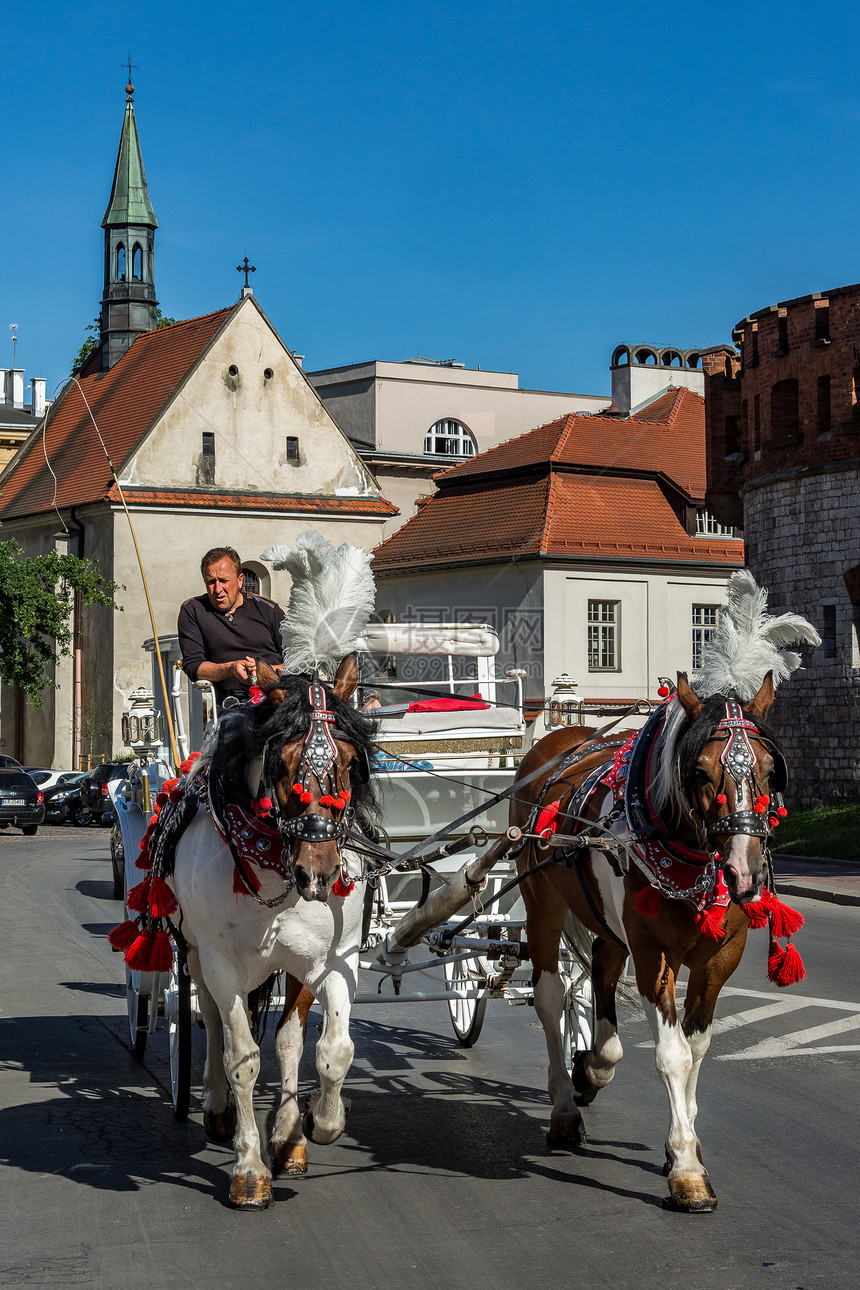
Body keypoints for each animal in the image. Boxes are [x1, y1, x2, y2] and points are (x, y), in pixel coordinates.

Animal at [510, 670, 794, 1212]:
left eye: (771, 770)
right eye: (700, 772)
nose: (744, 873)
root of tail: (563, 737)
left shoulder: (719, 959)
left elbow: (697, 1046)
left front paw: (685, 1145)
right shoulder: (652, 955)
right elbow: (673, 1054)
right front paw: (686, 1171)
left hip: (607, 923)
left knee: (601, 971)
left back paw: (590, 1069)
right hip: (543, 906)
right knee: (551, 995)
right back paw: (564, 1105)